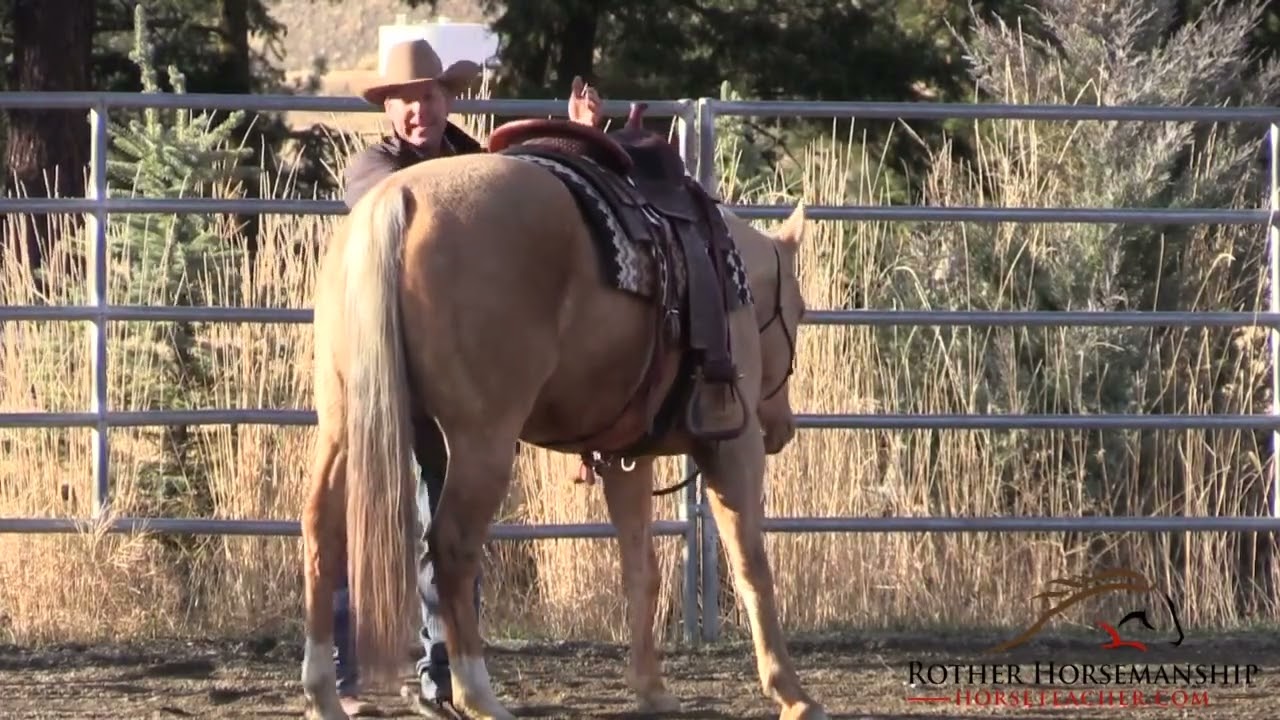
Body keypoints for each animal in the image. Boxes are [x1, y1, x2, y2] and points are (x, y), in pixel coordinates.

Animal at [298, 108, 826, 720]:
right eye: (799, 310)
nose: (781, 428)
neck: (718, 272)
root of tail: (398, 199)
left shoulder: (626, 457)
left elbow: (641, 568)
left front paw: (651, 688)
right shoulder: (730, 447)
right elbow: (751, 564)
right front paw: (792, 693)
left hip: (346, 424)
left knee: (322, 529)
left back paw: (323, 693)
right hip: (482, 439)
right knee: (451, 547)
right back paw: (479, 695)